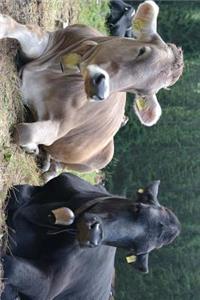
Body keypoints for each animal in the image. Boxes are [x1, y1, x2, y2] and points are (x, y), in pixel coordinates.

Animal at [1, 173, 180, 300]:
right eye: (137, 208)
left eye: (134, 248)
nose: (94, 234)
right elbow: (19, 192)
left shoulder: (49, 286)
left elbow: (11, 267)